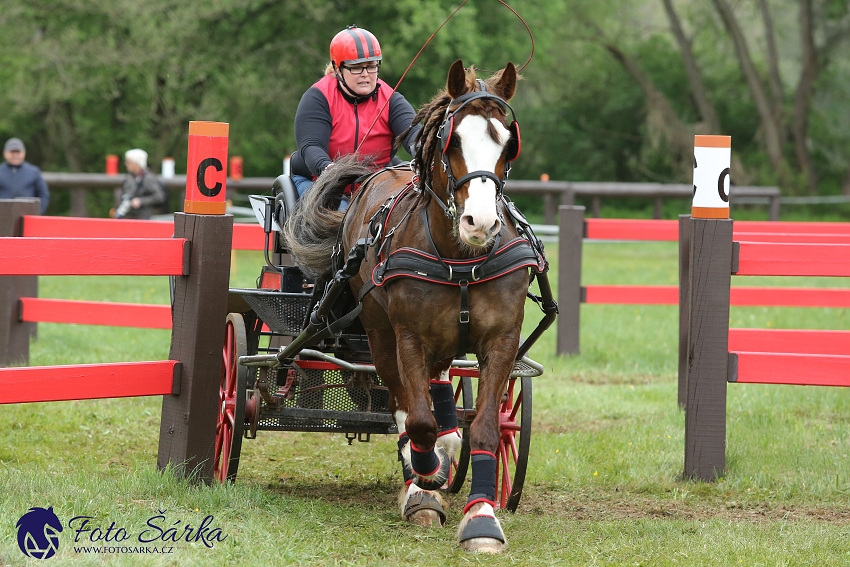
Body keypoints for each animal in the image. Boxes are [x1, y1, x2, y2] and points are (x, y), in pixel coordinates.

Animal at [282, 60, 540, 552]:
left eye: (507, 142)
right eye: (452, 140)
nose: (480, 223)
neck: (460, 258)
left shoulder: (501, 340)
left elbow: (485, 426)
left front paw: (481, 519)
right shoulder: (408, 337)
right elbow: (416, 421)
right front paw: (425, 480)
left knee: (441, 385)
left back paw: (448, 439)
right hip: (380, 331)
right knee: (403, 403)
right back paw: (422, 482)